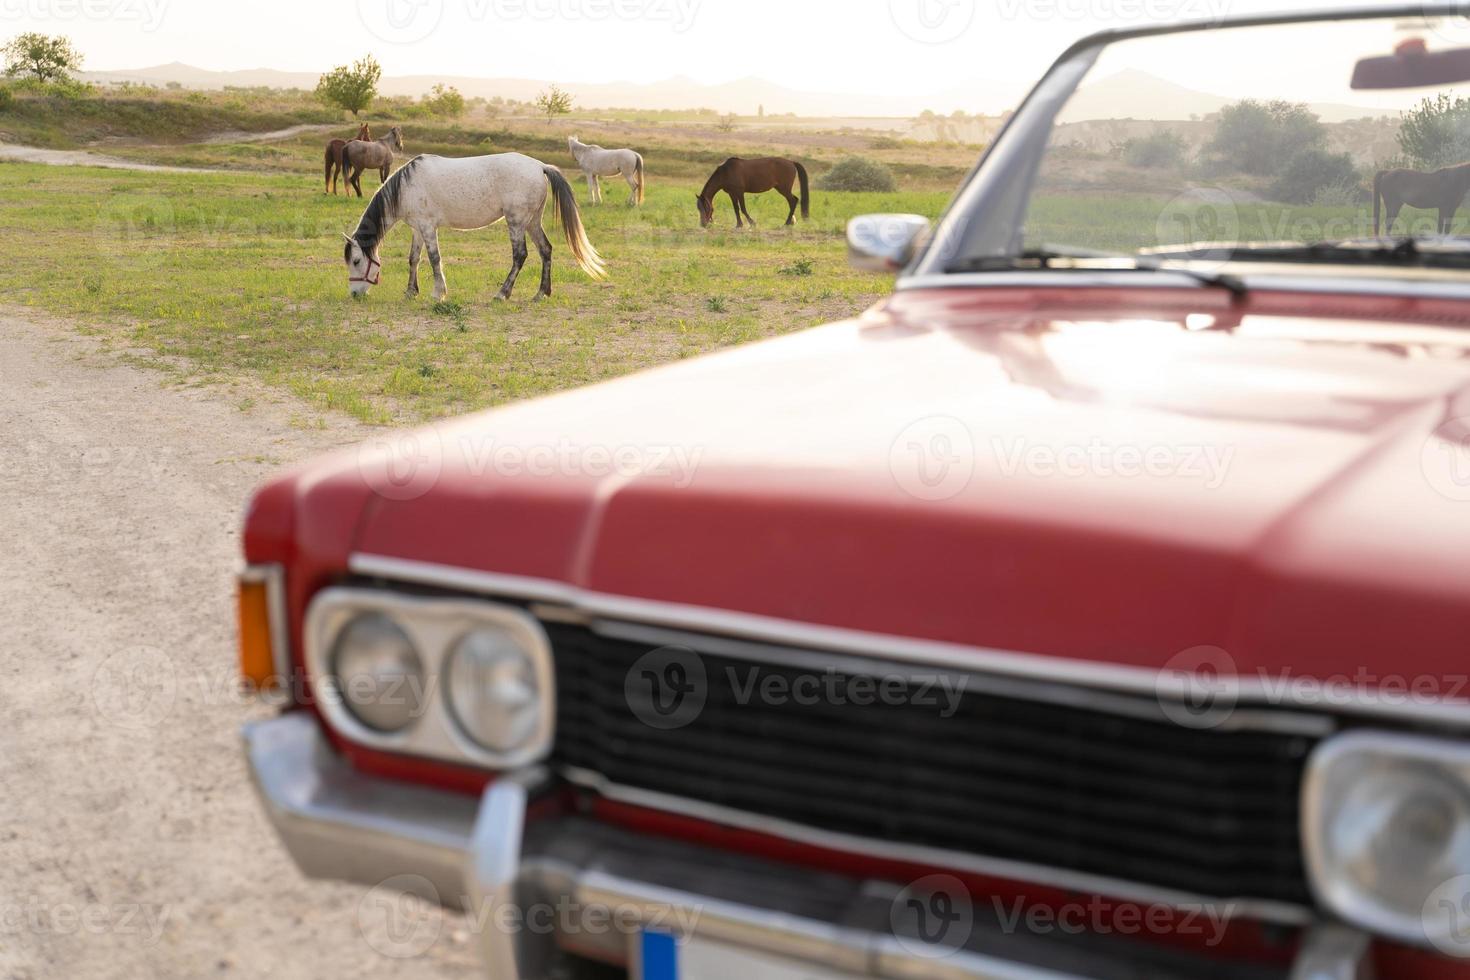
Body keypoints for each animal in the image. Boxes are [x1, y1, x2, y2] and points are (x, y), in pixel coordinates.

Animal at [341, 149, 605, 301]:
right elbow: (414, 258)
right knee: (546, 250)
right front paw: (410, 292)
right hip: (532, 222)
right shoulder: (417, 228)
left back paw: (502, 294)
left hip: (516, 222)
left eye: (356, 261)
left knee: (520, 255)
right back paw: (541, 293)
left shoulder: (427, 227)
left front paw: (438, 293)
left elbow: (434, 259)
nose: (354, 294)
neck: (406, 186)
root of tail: (541, 166)